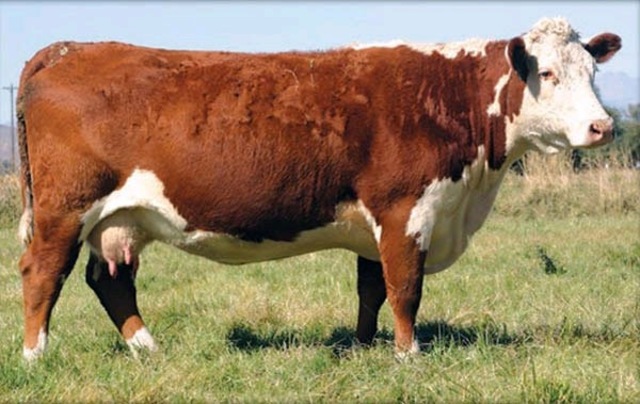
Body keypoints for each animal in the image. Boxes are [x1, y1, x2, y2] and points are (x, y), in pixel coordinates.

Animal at [16, 17, 620, 361]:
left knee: (109, 281)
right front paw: (409, 357)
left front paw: (363, 348)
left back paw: (148, 349)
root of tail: (68, 49)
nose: (603, 127)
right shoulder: (406, 209)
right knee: (43, 273)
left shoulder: (380, 224)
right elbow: (406, 288)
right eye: (548, 74)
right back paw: (35, 356)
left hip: (120, 219)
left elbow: (372, 290)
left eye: (592, 72)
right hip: (64, 209)